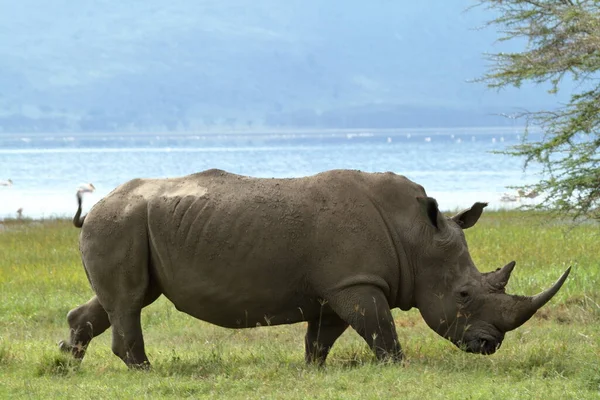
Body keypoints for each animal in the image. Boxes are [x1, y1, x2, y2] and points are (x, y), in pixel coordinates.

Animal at [58, 169, 568, 368]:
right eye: (463, 295)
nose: (489, 346)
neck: (416, 237)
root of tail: (99, 203)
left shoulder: (339, 286)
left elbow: (321, 338)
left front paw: (312, 371)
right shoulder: (357, 283)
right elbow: (382, 332)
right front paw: (397, 368)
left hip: (126, 225)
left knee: (121, 299)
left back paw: (68, 361)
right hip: (120, 223)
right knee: (129, 302)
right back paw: (146, 372)